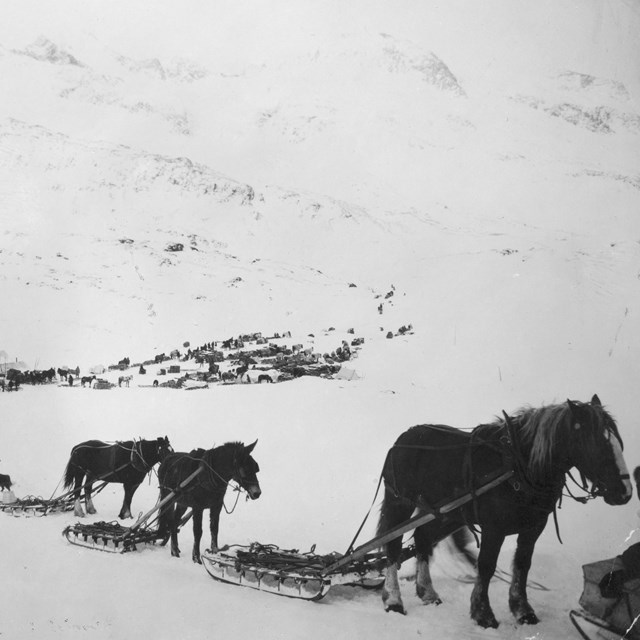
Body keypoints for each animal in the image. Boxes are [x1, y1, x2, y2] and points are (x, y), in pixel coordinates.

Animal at [378, 398, 632, 628]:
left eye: (619, 443)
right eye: (598, 445)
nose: (625, 493)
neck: (519, 467)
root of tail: (404, 437)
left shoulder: (533, 528)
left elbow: (522, 564)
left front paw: (523, 610)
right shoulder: (494, 529)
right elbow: (487, 567)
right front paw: (483, 613)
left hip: (445, 513)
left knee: (422, 538)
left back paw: (428, 593)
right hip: (399, 504)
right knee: (393, 546)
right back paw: (393, 600)